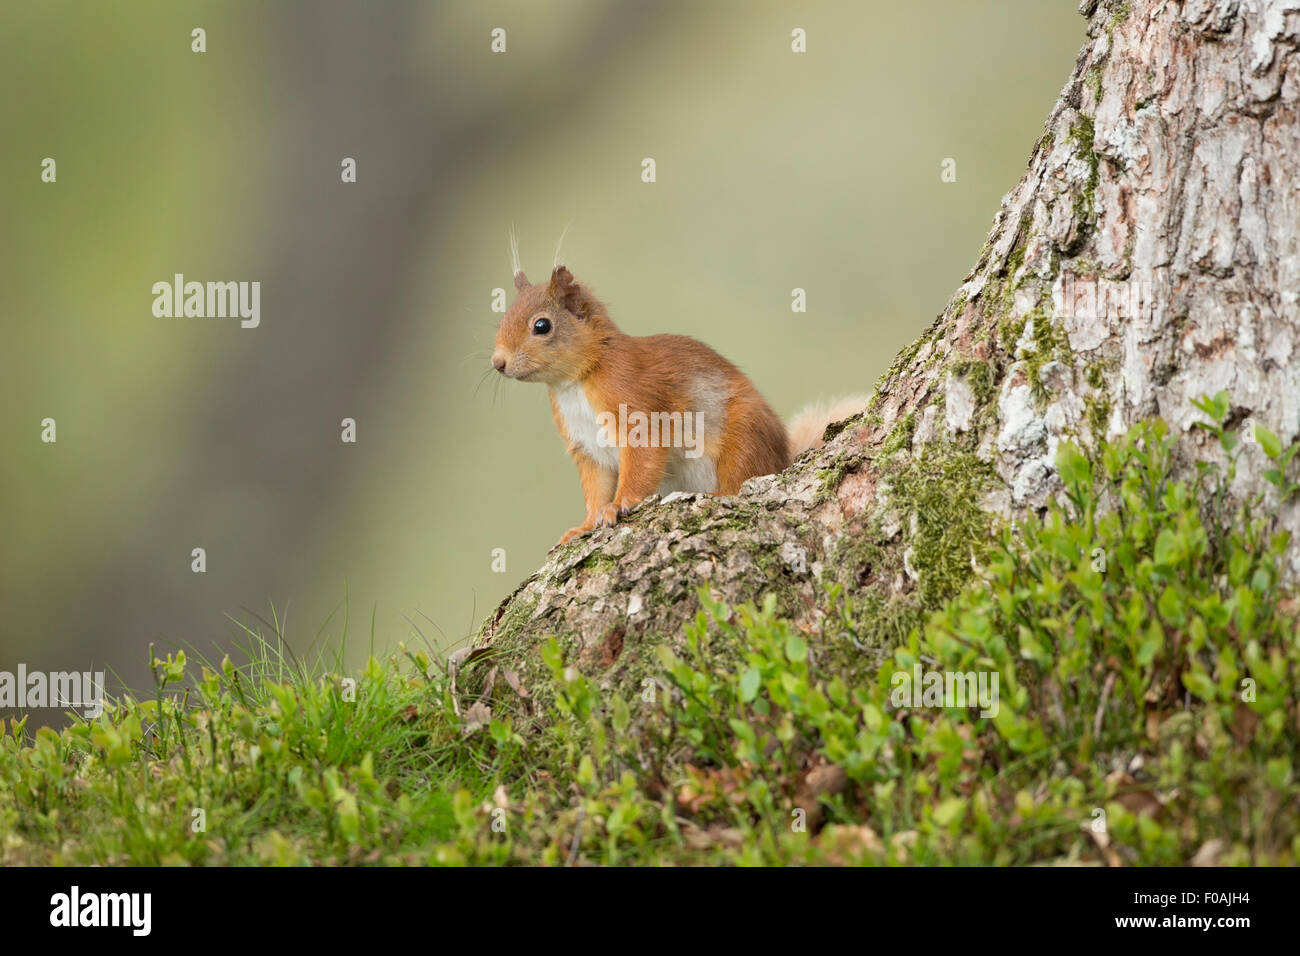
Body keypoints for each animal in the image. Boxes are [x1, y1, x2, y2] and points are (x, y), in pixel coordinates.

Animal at [491, 264, 868, 546]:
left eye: (542, 325)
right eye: (502, 319)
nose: (498, 363)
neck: (575, 382)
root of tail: (782, 458)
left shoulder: (635, 404)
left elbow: (642, 461)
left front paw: (620, 504)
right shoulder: (586, 448)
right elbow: (595, 490)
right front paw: (584, 525)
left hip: (744, 437)